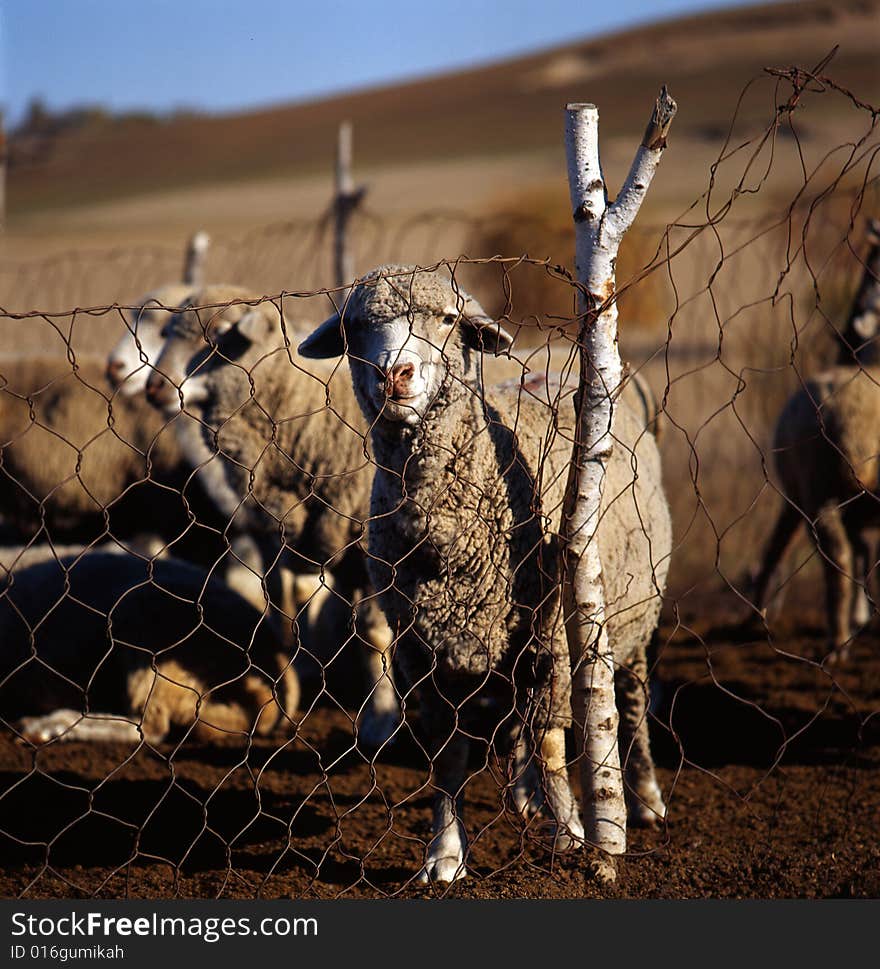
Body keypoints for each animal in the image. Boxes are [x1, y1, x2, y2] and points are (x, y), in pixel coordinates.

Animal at [144, 288, 402, 748]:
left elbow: (373, 633)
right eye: (168, 332)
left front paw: (382, 721)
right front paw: (288, 698)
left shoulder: (369, 546)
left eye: (219, 332)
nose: (154, 386)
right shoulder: (278, 534)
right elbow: (283, 614)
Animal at [300, 260, 672, 880]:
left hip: (633, 614)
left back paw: (642, 797)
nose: (393, 374)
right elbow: (449, 759)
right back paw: (525, 797)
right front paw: (444, 854)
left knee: (634, 703)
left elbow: (550, 743)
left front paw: (570, 836)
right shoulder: (419, 654)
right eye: (355, 327)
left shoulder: (551, 640)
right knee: (517, 724)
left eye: (449, 320)